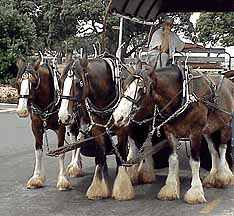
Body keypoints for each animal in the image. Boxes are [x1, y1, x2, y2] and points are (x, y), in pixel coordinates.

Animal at [14, 57, 71, 191]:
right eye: (18, 82)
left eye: (33, 82)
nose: (21, 110)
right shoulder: (36, 127)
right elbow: (38, 151)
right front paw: (36, 177)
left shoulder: (61, 128)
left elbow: (61, 151)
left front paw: (62, 179)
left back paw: (75, 167)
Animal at [112, 62, 233, 204]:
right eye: (124, 87)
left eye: (142, 89)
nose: (118, 116)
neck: (183, 96)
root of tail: (229, 81)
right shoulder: (170, 132)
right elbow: (172, 159)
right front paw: (170, 188)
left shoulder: (195, 132)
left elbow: (195, 162)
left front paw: (195, 191)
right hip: (208, 129)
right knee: (213, 150)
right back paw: (213, 175)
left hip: (226, 125)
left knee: (223, 148)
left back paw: (223, 177)